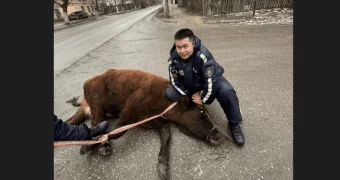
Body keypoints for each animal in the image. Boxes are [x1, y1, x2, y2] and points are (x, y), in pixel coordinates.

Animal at [65, 69, 222, 180]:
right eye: (201, 113)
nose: (218, 135)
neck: (164, 102)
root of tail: (89, 81)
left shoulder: (156, 122)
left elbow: (166, 136)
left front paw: (162, 167)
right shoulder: (129, 110)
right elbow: (118, 132)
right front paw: (87, 146)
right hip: (97, 105)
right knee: (96, 122)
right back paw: (104, 147)